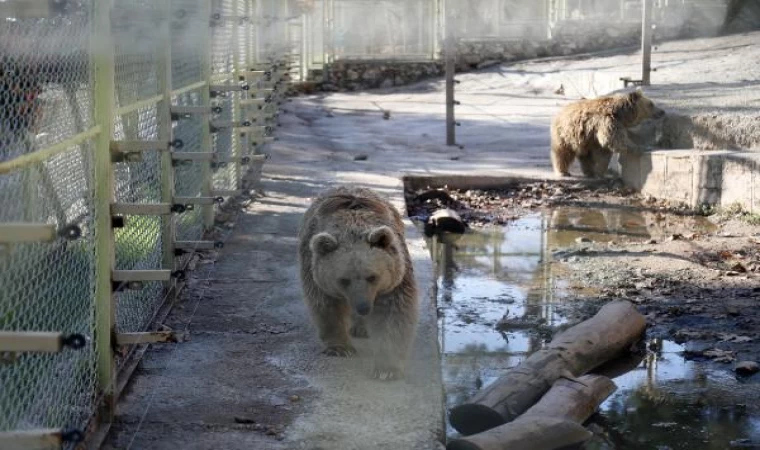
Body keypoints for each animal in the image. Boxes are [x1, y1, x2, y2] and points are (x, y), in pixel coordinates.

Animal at [296, 185, 418, 380]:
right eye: (343, 279)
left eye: (373, 276)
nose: (363, 307)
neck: (351, 226)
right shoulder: (315, 271)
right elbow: (326, 306)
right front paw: (340, 348)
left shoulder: (396, 275)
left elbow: (393, 313)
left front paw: (387, 368)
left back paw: (361, 328)